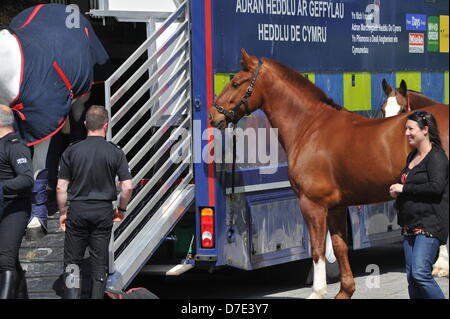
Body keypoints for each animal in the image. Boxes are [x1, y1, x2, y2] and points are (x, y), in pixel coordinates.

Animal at [210, 48, 450, 298]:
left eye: (235, 83)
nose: (213, 115)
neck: (310, 126)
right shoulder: (336, 206)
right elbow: (339, 246)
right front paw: (345, 290)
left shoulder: (312, 204)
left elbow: (317, 249)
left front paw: (318, 291)